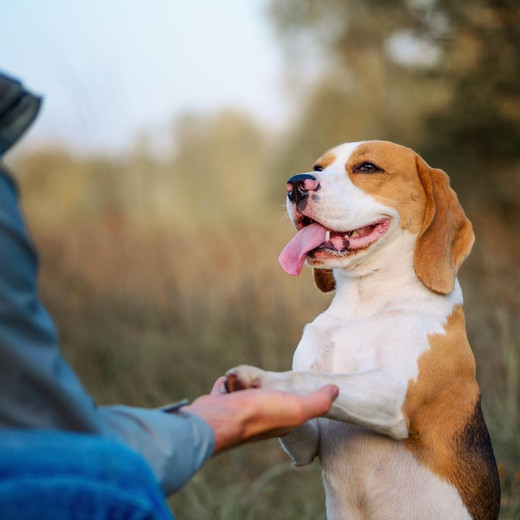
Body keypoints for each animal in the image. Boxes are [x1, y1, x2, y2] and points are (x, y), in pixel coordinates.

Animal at [225, 140, 502, 516]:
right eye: (319, 167)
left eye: (368, 168)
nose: (295, 184)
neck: (364, 303)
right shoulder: (308, 442)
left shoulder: (393, 394)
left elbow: (312, 378)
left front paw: (261, 379)